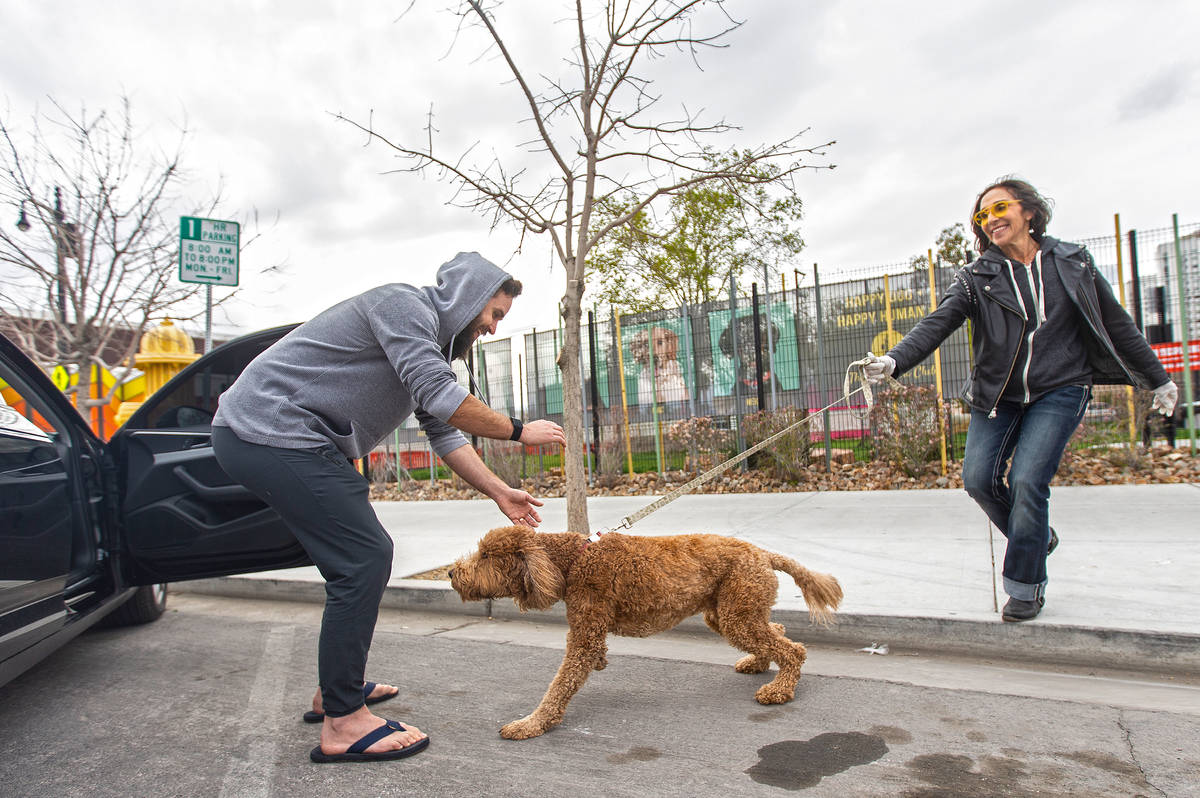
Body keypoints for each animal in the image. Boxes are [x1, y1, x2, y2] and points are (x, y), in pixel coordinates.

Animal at [446, 523, 840, 739]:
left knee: (793, 649)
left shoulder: (584, 636)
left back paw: (780, 689)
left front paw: (531, 724)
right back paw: (759, 664)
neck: (571, 560)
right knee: (776, 630)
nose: (451, 573)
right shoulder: (590, 629)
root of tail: (763, 553)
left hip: (737, 613)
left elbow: (559, 687)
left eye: (485, 556)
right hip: (730, 611)